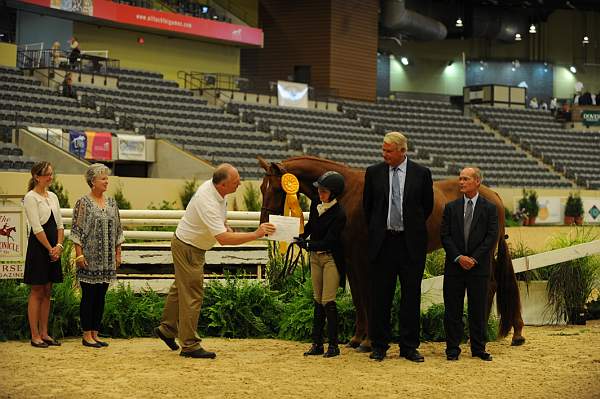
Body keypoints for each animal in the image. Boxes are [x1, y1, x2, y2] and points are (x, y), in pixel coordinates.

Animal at [258, 156, 524, 350]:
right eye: (261, 187)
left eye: (275, 188)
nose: (264, 225)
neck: (347, 193)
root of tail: (493, 195)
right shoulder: (350, 260)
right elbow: (358, 298)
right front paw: (356, 339)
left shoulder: (364, 258)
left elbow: (367, 296)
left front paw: (367, 342)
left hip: (484, 252)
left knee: (489, 285)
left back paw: (481, 335)